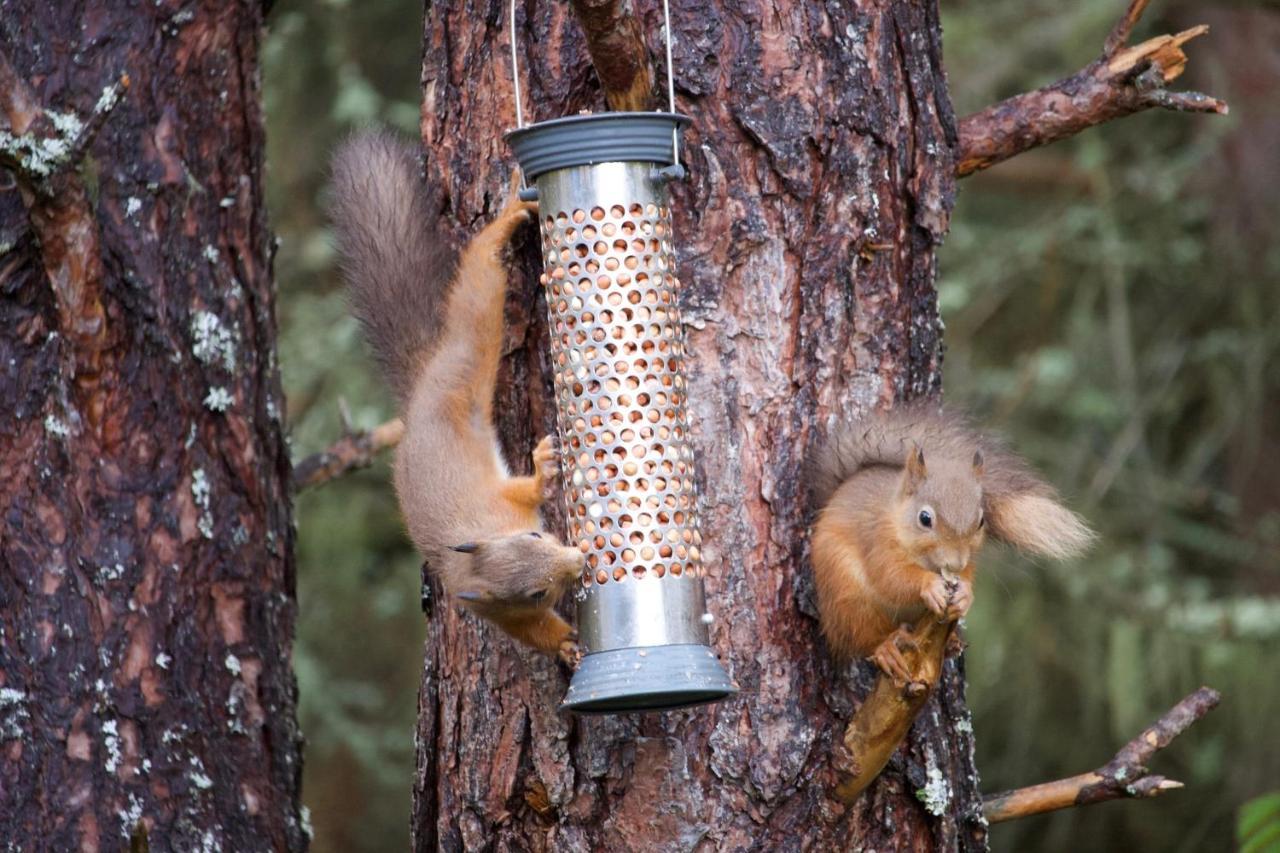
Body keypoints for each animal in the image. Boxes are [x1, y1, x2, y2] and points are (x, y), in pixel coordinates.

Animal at [332, 131, 586, 666]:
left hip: (466, 361)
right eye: (535, 592)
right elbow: (533, 631)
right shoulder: (496, 611)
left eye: (536, 533)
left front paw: (543, 468)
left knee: (478, 291)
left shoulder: (500, 499)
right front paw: (566, 647)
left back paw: (505, 222)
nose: (577, 560)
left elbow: (525, 491)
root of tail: (418, 394)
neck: (486, 536)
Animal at [814, 402, 1095, 681]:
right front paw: (929, 585)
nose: (955, 563)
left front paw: (965, 595)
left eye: (981, 521)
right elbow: (890, 578)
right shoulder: (876, 541)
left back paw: (951, 642)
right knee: (862, 633)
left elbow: (966, 575)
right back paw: (886, 649)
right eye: (925, 518)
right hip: (845, 592)